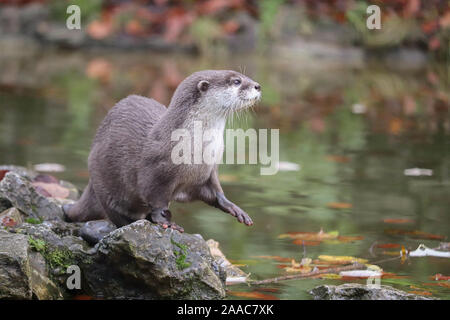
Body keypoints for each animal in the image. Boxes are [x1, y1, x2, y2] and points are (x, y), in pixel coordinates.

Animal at [62, 70, 260, 231]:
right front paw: (165, 221)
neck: (196, 148)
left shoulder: (208, 171)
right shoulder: (155, 171)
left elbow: (215, 193)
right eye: (236, 81)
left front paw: (234, 208)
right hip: (104, 181)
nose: (258, 86)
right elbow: (155, 197)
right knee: (117, 215)